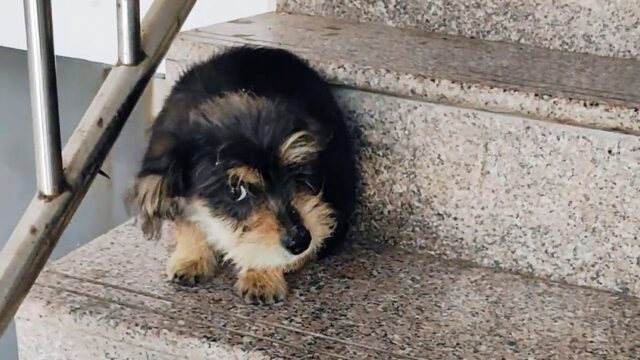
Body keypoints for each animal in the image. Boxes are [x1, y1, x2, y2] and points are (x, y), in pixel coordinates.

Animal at [127, 45, 358, 304]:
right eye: (236, 191)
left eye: (295, 171)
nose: (301, 241)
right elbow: (188, 218)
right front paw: (191, 258)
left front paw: (262, 276)